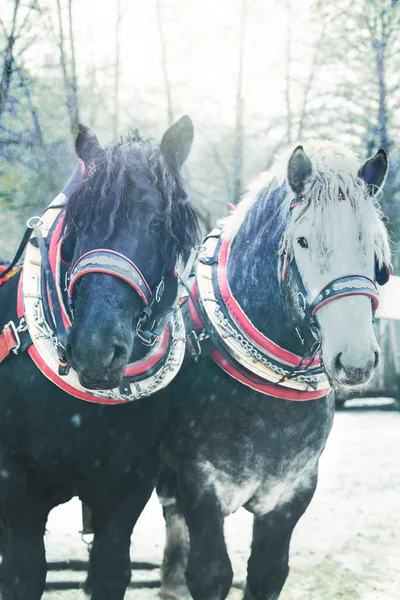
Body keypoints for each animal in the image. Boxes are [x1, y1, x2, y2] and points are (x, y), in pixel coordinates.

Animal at [0, 117, 198, 600]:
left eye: (158, 222)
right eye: (77, 224)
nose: (94, 349)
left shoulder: (126, 490)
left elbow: (110, 570)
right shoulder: (16, 486)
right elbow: (23, 572)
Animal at [155, 144, 390, 600]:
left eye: (372, 244)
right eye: (302, 240)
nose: (355, 360)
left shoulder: (291, 493)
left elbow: (267, 573)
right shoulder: (201, 486)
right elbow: (211, 573)